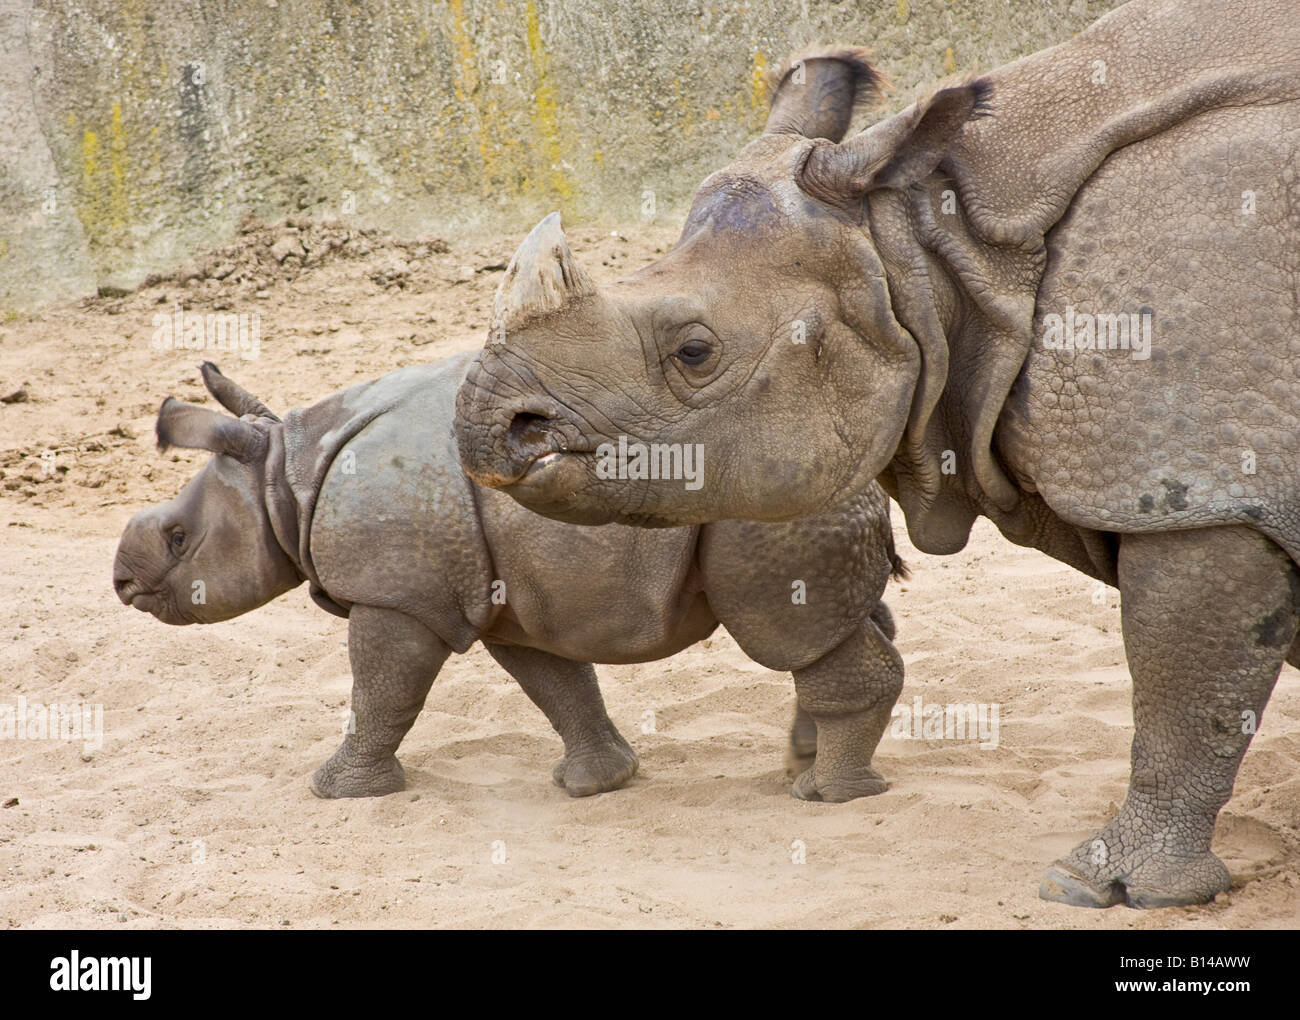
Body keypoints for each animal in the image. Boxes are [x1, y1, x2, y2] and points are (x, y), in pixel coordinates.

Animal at [113, 357, 904, 802]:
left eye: (178, 539)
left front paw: (336, 793)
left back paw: (826, 795)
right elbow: (557, 685)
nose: (121, 583)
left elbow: (382, 693)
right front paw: (598, 784)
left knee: (790, 631)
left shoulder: (396, 596)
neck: (284, 477)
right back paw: (805, 764)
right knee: (835, 622)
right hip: (802, 486)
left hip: (768, 497)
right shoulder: (517, 597)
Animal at [453, 0, 1300, 907]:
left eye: (694, 352)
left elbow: (1186, 689)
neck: (933, 245)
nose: (490, 425)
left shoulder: (1208, 489)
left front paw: (1100, 887)